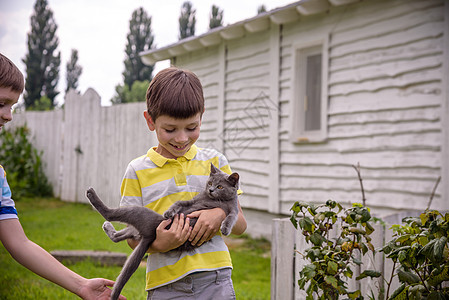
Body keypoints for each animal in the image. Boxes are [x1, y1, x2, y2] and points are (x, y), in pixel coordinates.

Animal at [84, 163, 238, 300]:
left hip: (141, 214)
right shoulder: (193, 201)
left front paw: (225, 229)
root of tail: (150, 236)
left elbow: (231, 218)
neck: (214, 199)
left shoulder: (233, 210)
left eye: (220, 186)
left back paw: (92, 196)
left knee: (110, 215)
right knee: (117, 232)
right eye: (210, 182)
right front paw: (169, 212)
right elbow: (180, 203)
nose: (211, 190)